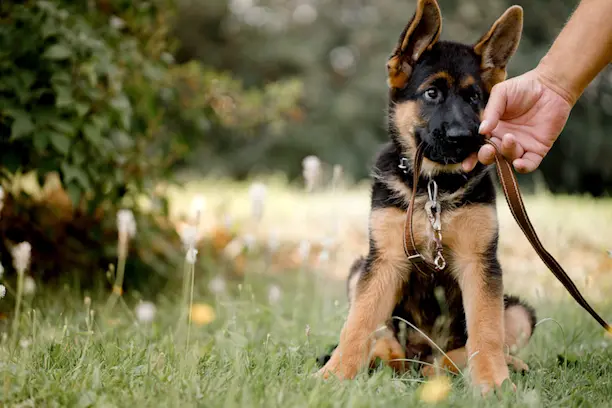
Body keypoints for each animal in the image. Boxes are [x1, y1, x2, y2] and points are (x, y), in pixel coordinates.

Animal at [318, 0, 536, 396]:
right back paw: (386, 360)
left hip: (517, 311)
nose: (462, 137)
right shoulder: (384, 260)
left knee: (460, 353)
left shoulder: (479, 263)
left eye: (474, 98)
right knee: (386, 338)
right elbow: (358, 323)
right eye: (431, 93)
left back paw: (485, 367)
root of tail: (419, 361)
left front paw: (494, 384)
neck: (434, 186)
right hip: (360, 271)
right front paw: (334, 375)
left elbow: (486, 331)